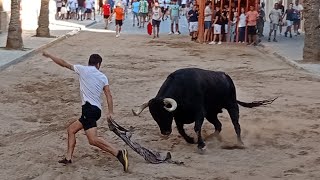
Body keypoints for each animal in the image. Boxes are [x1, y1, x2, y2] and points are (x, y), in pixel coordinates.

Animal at [131, 69, 276, 150]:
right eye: (154, 116)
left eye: (165, 114)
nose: (165, 132)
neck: (182, 89)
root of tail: (226, 77)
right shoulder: (179, 116)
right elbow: (181, 130)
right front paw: (191, 140)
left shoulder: (199, 113)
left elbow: (196, 127)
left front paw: (201, 145)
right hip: (211, 113)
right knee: (218, 125)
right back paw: (211, 138)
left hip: (232, 105)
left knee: (236, 125)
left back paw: (240, 143)